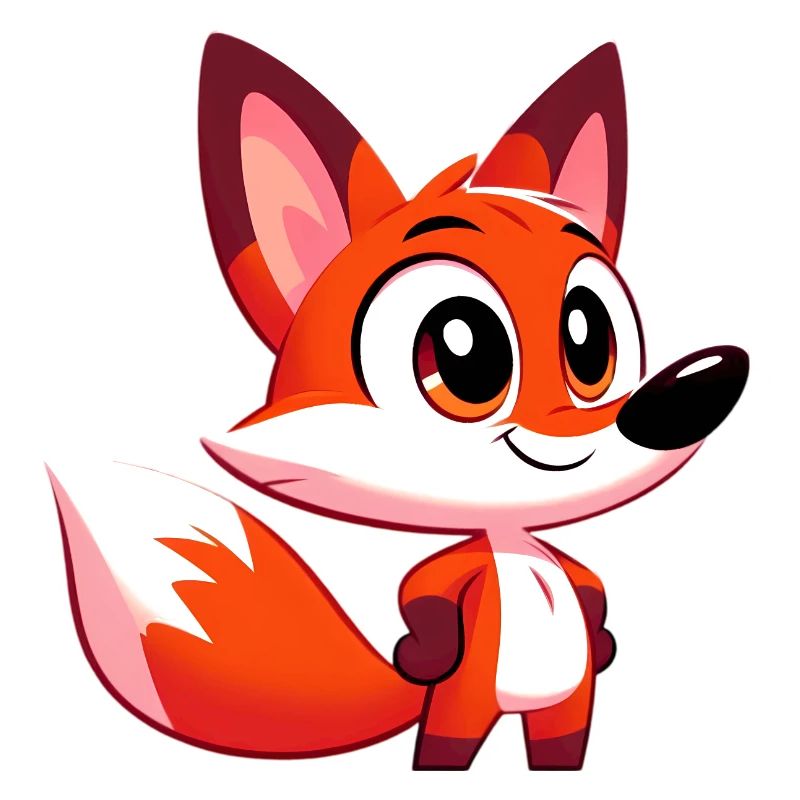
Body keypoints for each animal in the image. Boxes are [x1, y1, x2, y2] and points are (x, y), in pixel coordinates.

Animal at [49, 34, 749, 771]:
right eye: (464, 354)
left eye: (589, 341)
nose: (697, 390)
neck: (516, 543)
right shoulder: (456, 586)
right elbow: (429, 594)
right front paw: (422, 651)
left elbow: (589, 588)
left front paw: (605, 637)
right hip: (467, 705)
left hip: (565, 710)